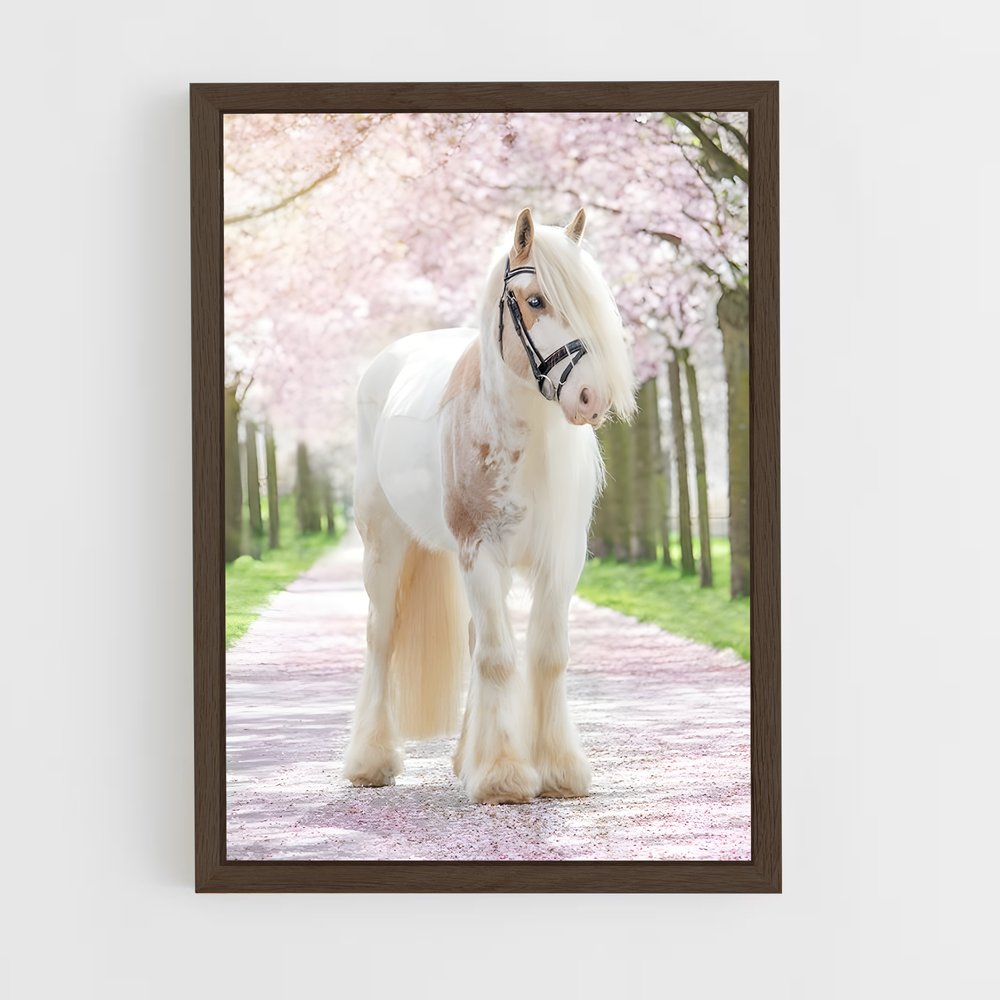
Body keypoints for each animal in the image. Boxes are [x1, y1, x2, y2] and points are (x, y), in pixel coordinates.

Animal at [342, 207, 636, 804]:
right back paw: (371, 761)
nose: (591, 398)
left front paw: (559, 770)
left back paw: (463, 759)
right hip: (383, 546)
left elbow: (546, 655)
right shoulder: (480, 551)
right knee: (382, 636)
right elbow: (500, 658)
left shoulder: (559, 561)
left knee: (477, 638)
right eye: (536, 300)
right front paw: (503, 775)